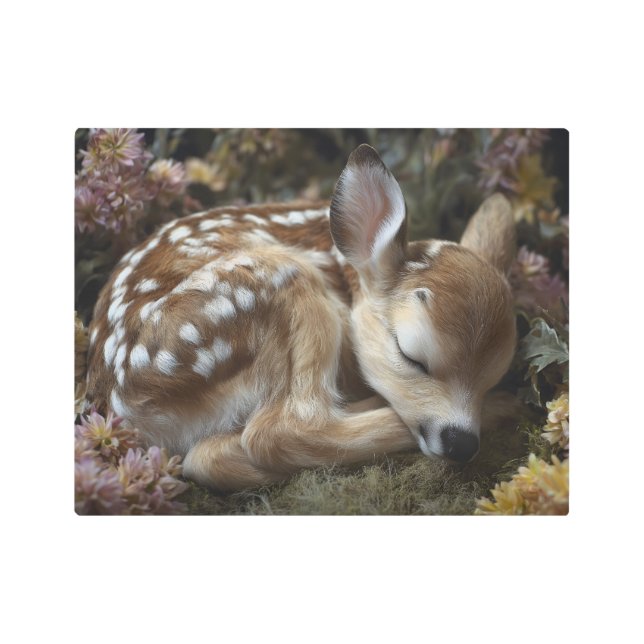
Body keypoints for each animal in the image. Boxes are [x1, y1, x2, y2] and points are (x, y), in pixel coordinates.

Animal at [85, 144, 518, 492]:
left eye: (494, 373)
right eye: (410, 355)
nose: (461, 442)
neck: (346, 273)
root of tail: (123, 402)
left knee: (207, 457)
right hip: (277, 284)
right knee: (281, 431)